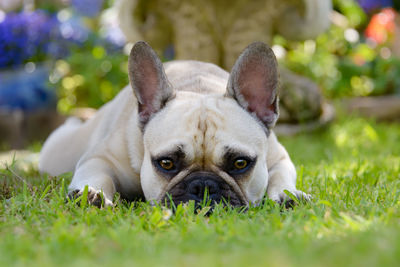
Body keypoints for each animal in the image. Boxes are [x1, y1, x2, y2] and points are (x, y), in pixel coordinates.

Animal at [38, 40, 312, 208]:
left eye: (240, 163)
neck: (199, 88)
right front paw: (92, 193)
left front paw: (287, 195)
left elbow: (281, 176)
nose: (203, 185)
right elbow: (96, 173)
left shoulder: (279, 158)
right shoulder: (101, 158)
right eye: (167, 163)